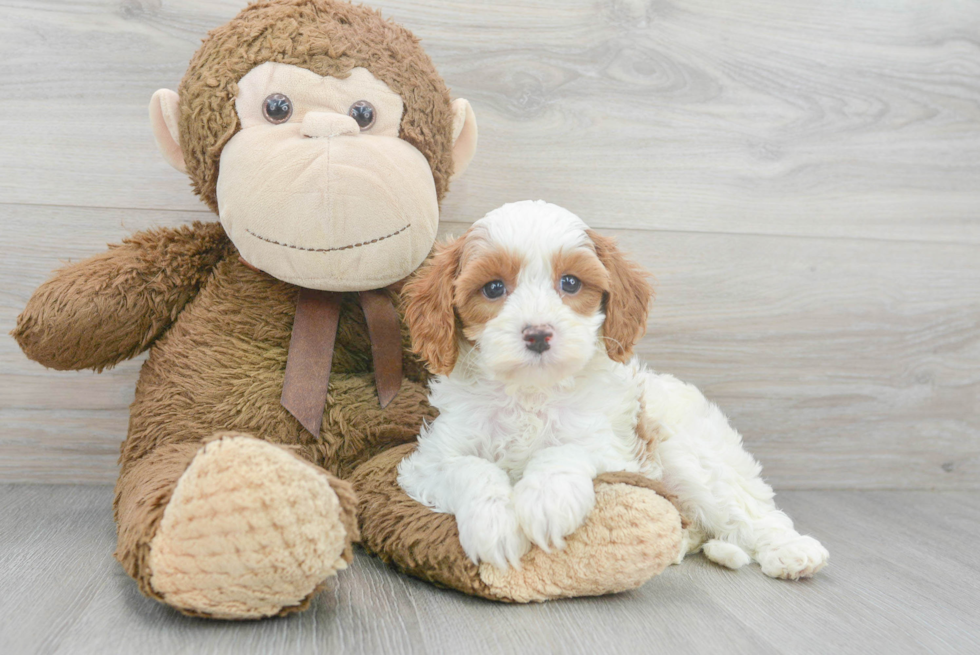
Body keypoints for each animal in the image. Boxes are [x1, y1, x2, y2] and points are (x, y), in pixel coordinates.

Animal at [396, 201, 828, 580]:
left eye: (570, 282)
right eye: (493, 288)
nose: (538, 334)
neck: (532, 393)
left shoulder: (618, 453)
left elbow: (565, 450)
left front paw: (546, 500)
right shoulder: (429, 461)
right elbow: (469, 468)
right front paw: (494, 523)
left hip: (691, 456)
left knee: (748, 511)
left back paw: (792, 552)